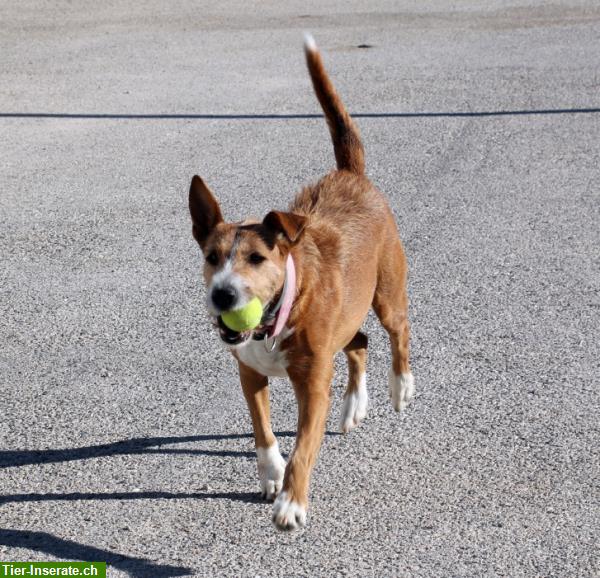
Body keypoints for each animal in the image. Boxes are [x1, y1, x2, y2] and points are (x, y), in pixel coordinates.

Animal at [188, 36, 412, 528]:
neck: (274, 319)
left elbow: (304, 448)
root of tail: (351, 175)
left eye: (257, 258)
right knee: (360, 342)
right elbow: (263, 431)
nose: (223, 294)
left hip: (387, 293)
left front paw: (291, 500)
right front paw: (271, 473)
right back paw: (352, 406)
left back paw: (400, 386)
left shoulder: (311, 385)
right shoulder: (249, 371)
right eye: (211, 258)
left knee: (397, 332)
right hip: (345, 318)